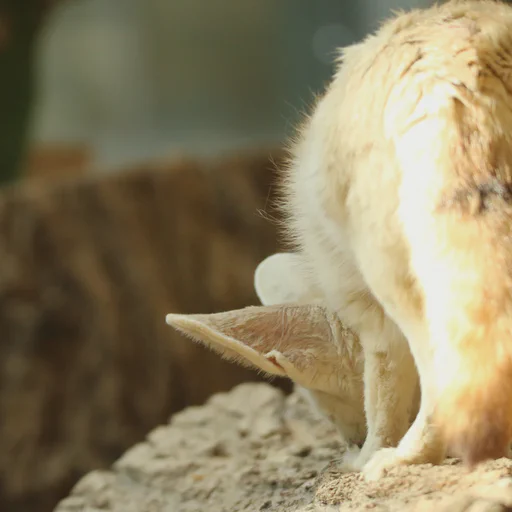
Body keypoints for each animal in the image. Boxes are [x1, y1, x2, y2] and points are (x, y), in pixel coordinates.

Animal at [168, 0, 512, 480]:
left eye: (326, 406)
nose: (348, 440)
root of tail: (460, 69)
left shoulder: (365, 308)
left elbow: (383, 390)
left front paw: (370, 452)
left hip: (399, 273)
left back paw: (403, 457)